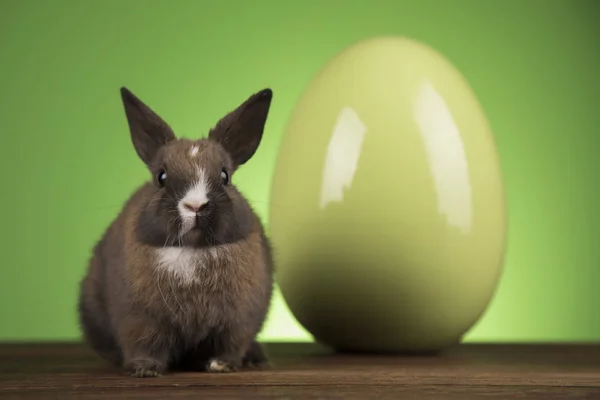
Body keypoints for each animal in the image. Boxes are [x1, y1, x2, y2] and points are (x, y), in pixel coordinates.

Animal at [76, 86, 276, 376]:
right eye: (161, 177)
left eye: (225, 176)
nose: (195, 205)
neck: (192, 250)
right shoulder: (140, 319)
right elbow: (143, 343)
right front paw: (145, 369)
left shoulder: (237, 322)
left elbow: (229, 344)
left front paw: (220, 365)